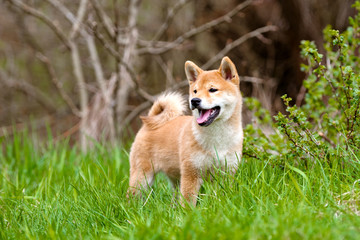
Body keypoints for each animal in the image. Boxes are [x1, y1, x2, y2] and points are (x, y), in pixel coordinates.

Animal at [128, 56, 243, 206]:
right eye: (195, 91)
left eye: (212, 89)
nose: (194, 100)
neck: (217, 139)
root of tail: (148, 124)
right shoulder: (191, 173)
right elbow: (188, 203)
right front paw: (189, 213)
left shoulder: (226, 172)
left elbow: (221, 197)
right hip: (142, 177)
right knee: (132, 196)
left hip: (175, 179)